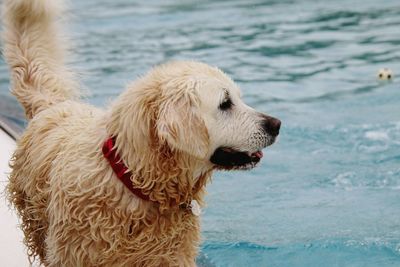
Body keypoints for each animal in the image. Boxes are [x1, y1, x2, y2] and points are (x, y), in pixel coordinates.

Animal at [2, 1, 282, 266]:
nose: (276, 124)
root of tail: (54, 104)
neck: (132, 176)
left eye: (238, 98)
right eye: (225, 103)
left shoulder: (171, 254)